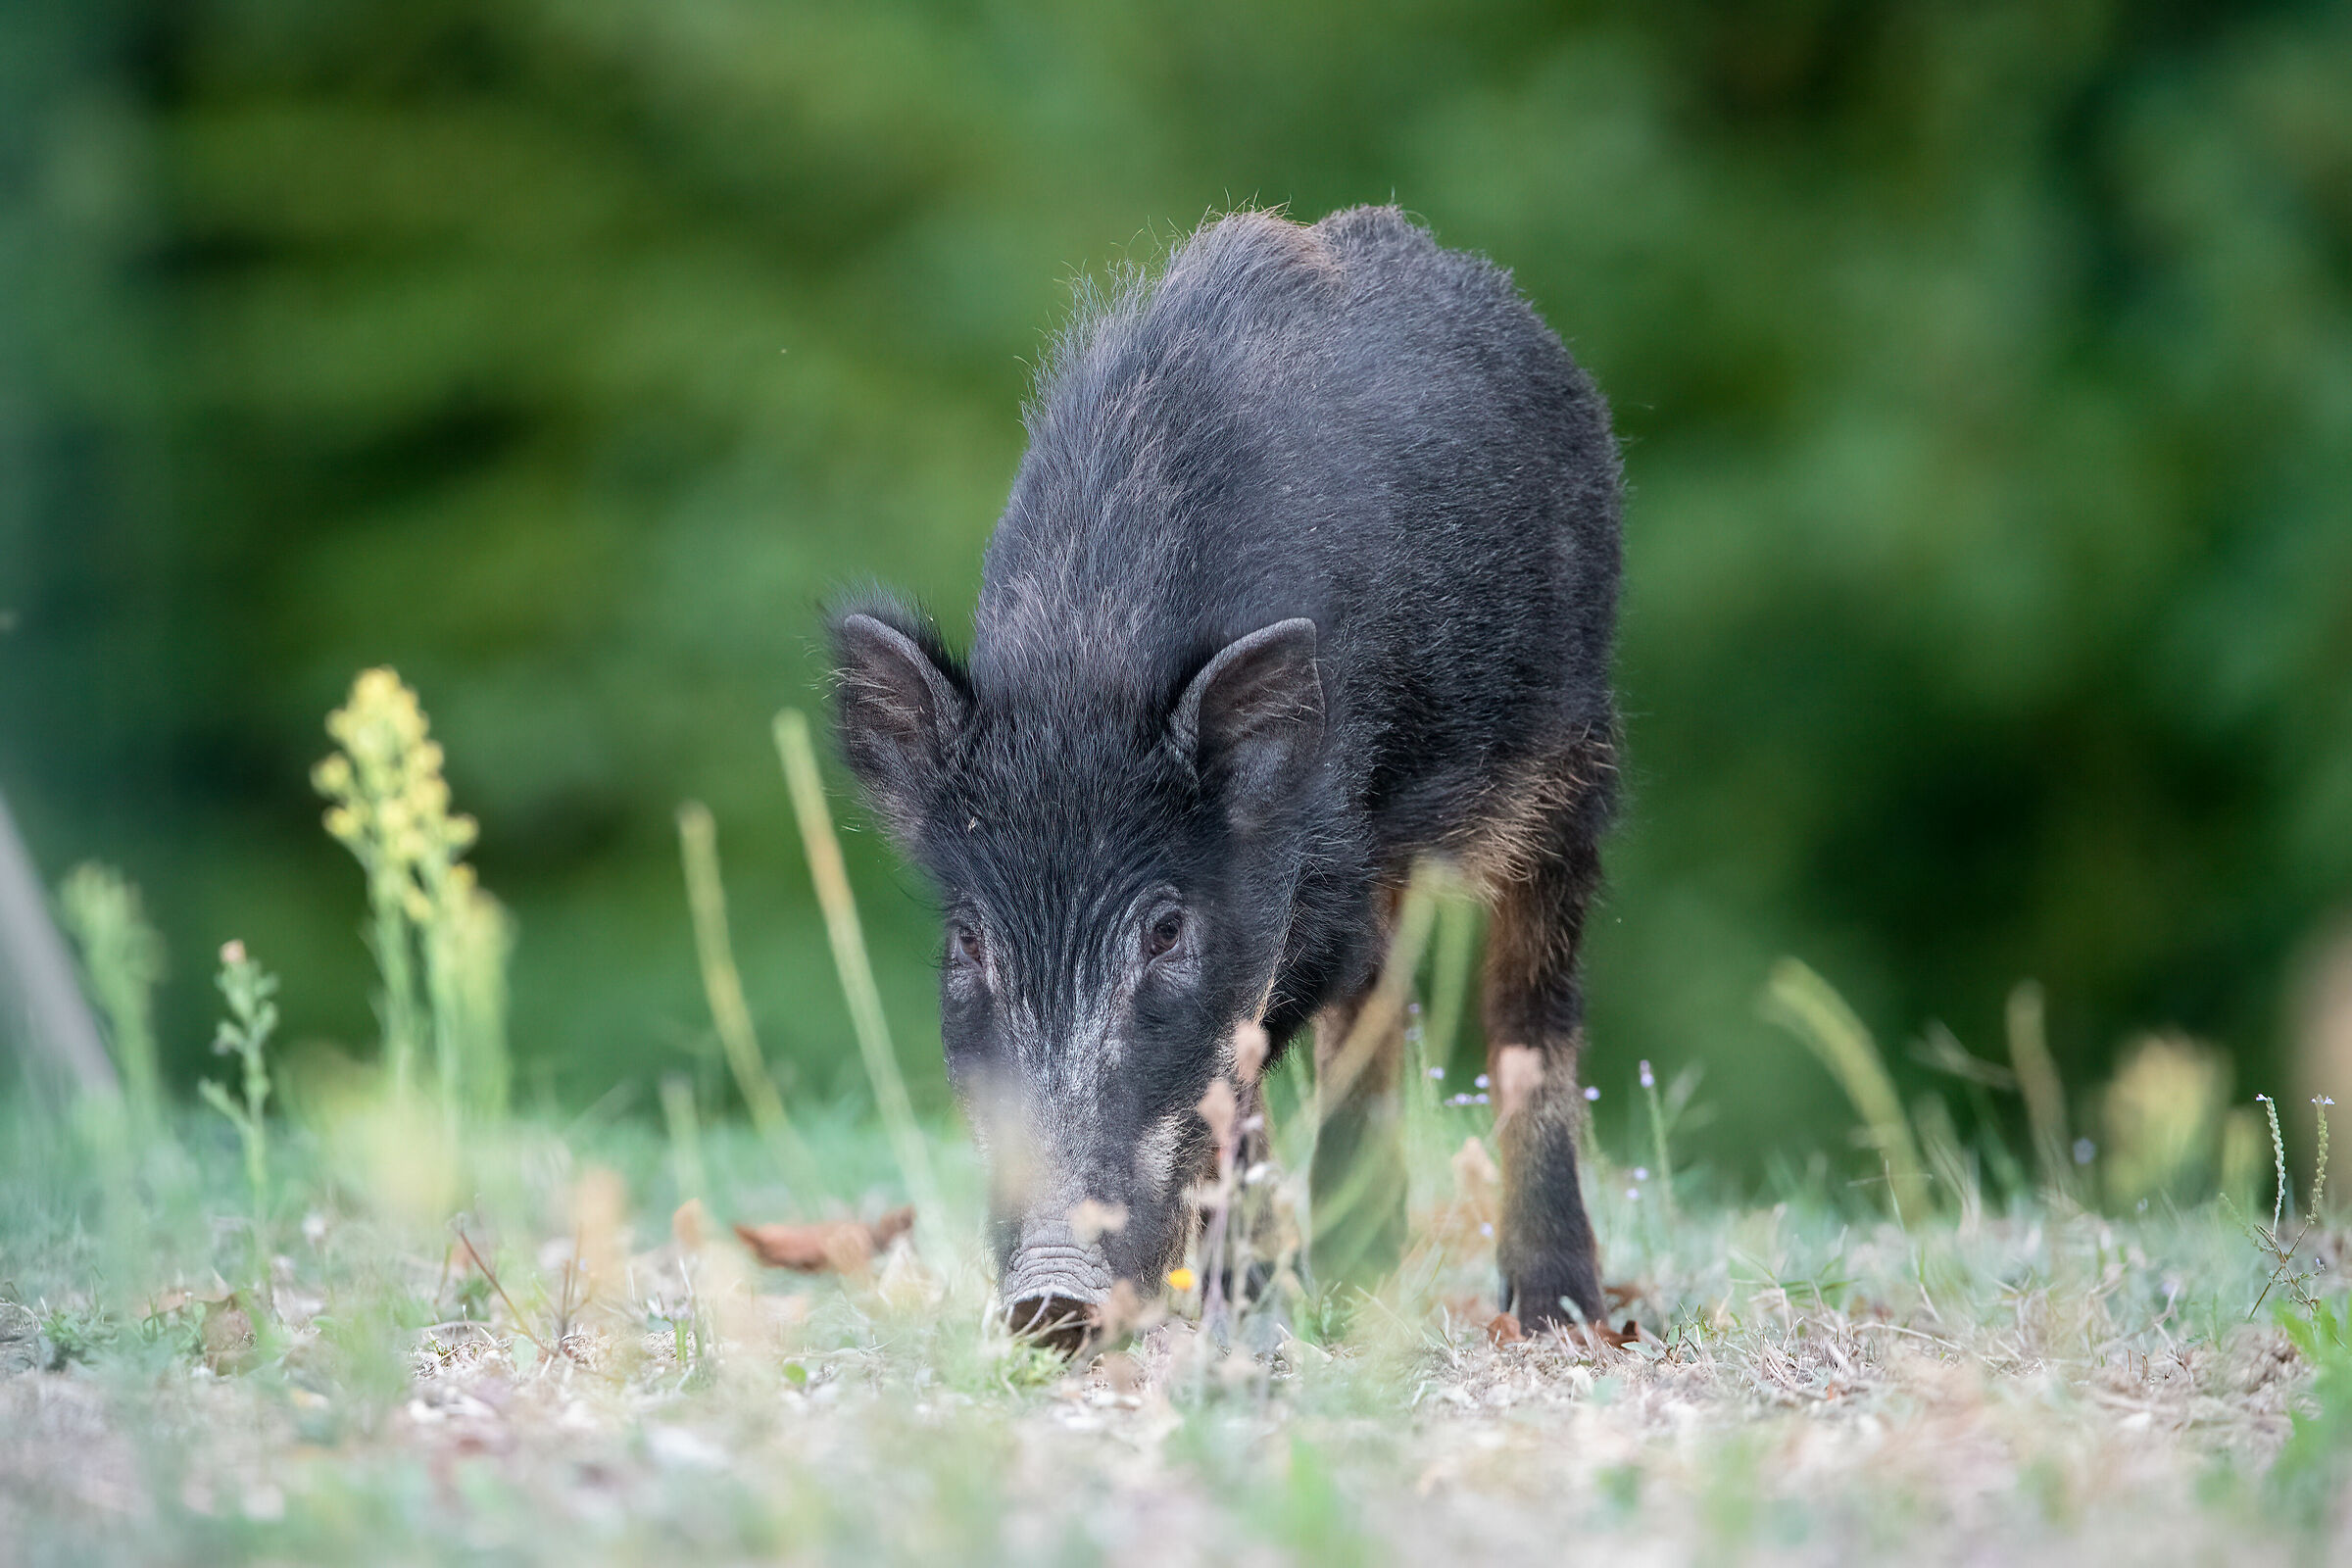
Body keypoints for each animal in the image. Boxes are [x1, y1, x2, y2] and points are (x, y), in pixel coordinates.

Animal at [829, 205, 1621, 1348]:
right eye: (969, 940)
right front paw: (1250, 1295)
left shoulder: (1316, 867)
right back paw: (1349, 1269)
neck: (1092, 663)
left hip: (1570, 752)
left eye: (1166, 931)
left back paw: (1556, 1312)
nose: (1049, 1295)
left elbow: (1246, 1063)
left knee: (1528, 1010)